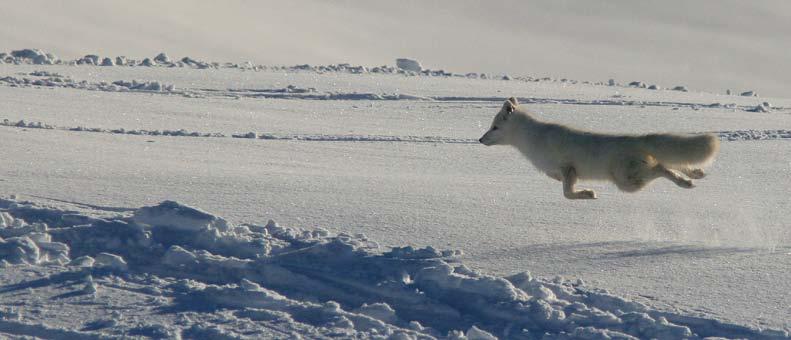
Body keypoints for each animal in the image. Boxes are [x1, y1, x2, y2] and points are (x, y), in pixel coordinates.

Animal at [480, 97, 720, 199]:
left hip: (628, 182)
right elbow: (562, 185)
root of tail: (637, 139)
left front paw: (588, 194)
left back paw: (685, 183)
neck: (532, 139)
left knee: (663, 167)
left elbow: (567, 193)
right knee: (672, 162)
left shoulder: (567, 167)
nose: (480, 139)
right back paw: (695, 173)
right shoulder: (558, 172)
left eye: (494, 127)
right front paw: (586, 192)